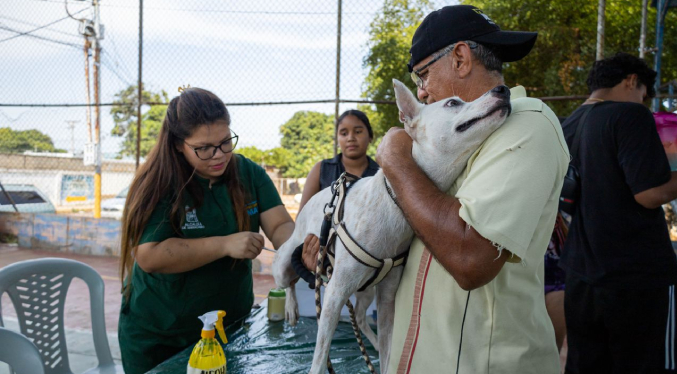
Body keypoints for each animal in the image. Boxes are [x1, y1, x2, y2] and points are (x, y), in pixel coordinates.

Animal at [272, 79, 510, 374]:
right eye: (453, 102)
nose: (503, 89)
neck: (394, 203)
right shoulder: (334, 295)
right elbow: (319, 356)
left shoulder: (386, 299)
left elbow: (387, 353)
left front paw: (381, 353)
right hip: (287, 262)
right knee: (288, 280)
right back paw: (291, 307)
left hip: (365, 291)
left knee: (361, 318)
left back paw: (371, 343)